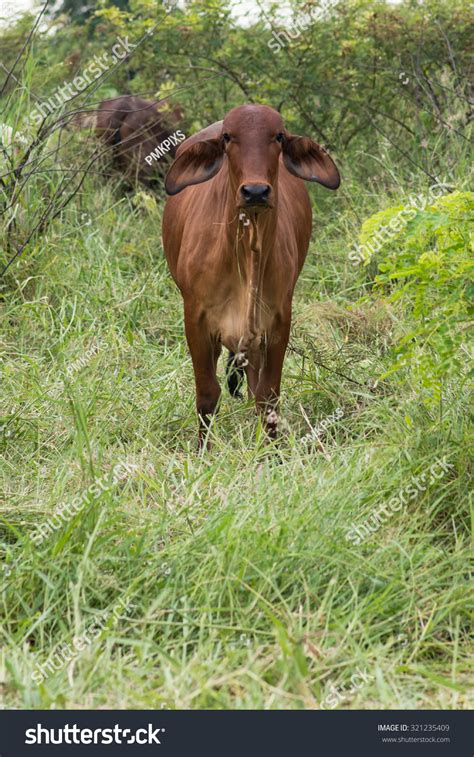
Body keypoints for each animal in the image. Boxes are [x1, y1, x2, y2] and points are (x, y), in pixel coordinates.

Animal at [163, 103, 340, 446]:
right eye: (228, 137)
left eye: (279, 136)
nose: (255, 191)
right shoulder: (196, 319)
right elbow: (207, 394)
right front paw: (202, 451)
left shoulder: (278, 322)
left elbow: (267, 395)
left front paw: (270, 450)